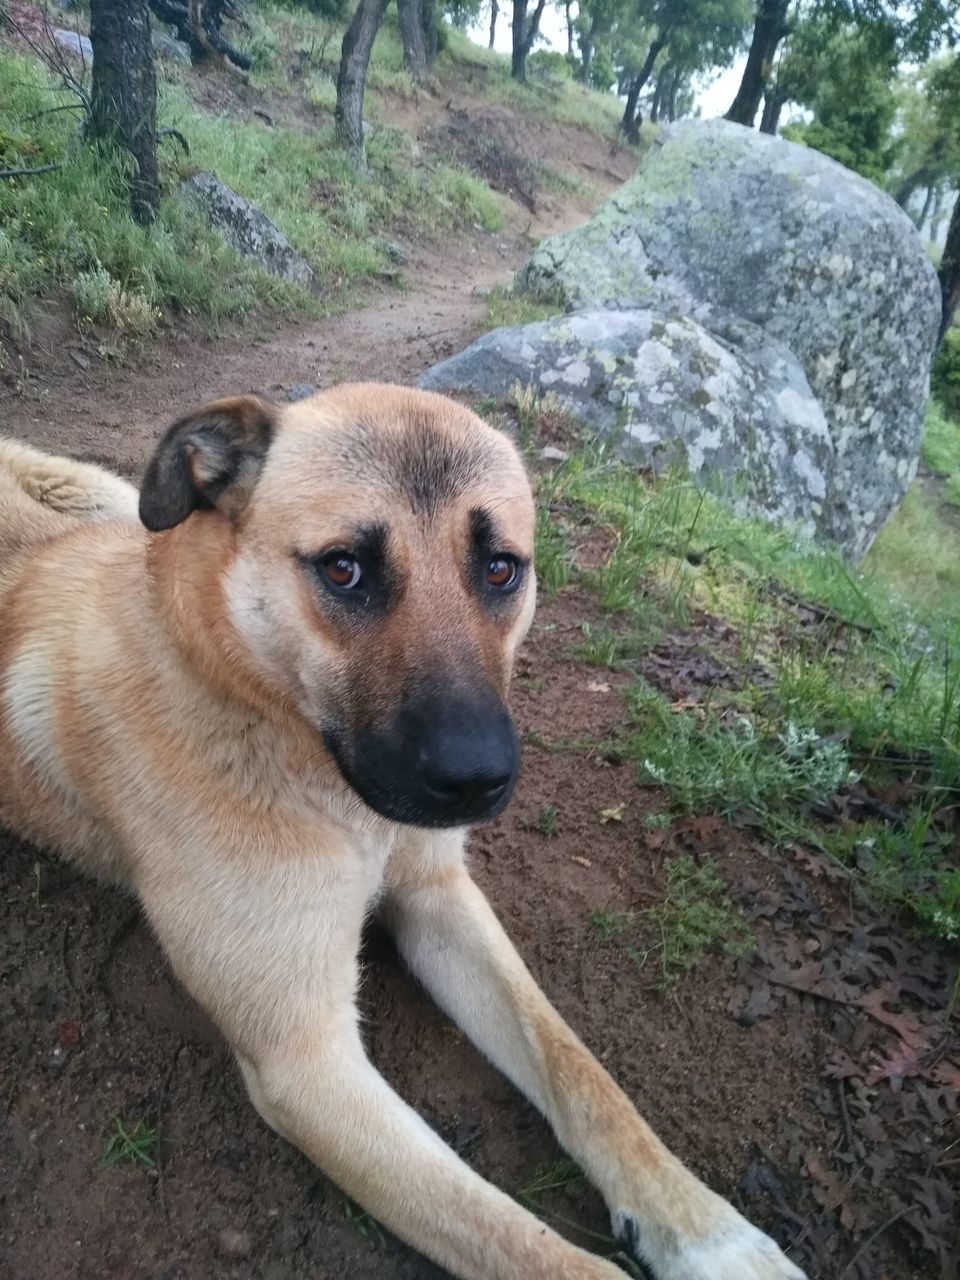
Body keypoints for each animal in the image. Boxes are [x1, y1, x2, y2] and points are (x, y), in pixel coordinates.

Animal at [0, 386, 808, 1280]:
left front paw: (706, 1231)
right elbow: (524, 1244)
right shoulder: (306, 1060)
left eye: (501, 569)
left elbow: (579, 1070)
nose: (476, 778)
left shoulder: (439, 897)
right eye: (343, 568)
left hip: (102, 496)